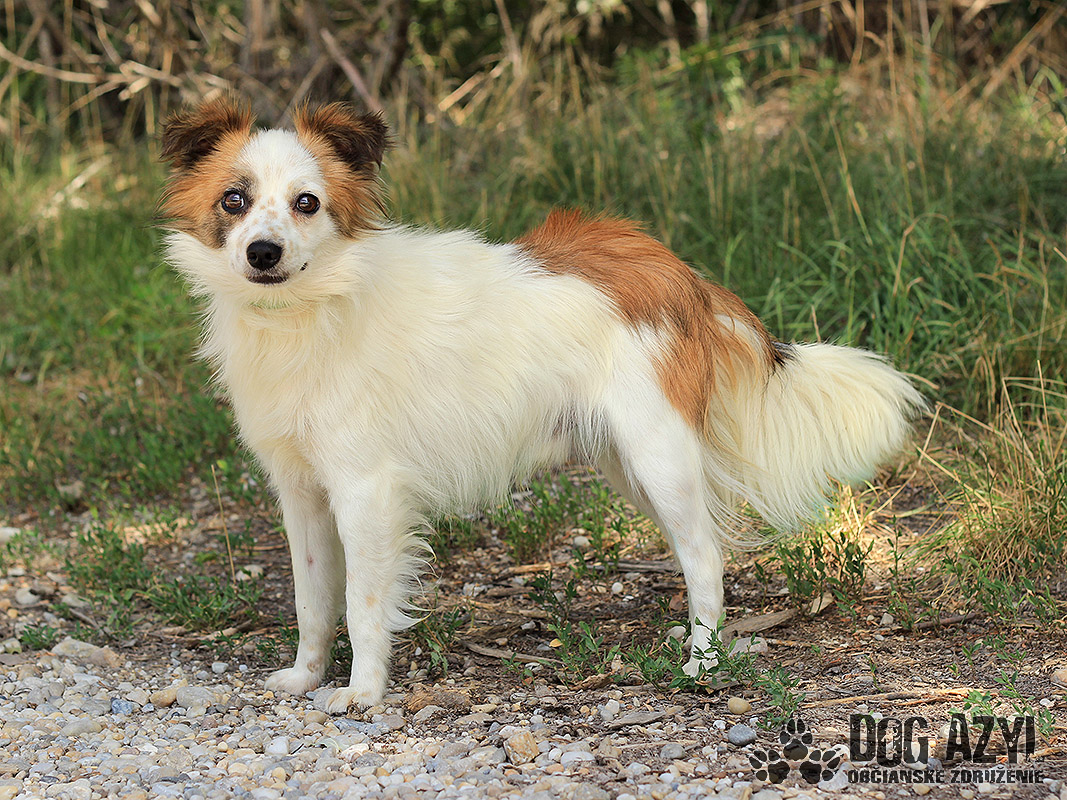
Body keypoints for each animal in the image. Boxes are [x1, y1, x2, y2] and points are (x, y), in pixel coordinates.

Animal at [160, 97, 924, 712]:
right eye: (234, 200)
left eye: (307, 204)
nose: (263, 253)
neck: (307, 309)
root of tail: (673, 268)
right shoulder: (300, 491)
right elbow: (313, 598)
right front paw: (306, 676)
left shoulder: (365, 489)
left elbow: (363, 601)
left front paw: (364, 692)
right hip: (628, 464)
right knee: (696, 550)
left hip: (659, 455)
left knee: (706, 557)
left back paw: (701, 662)